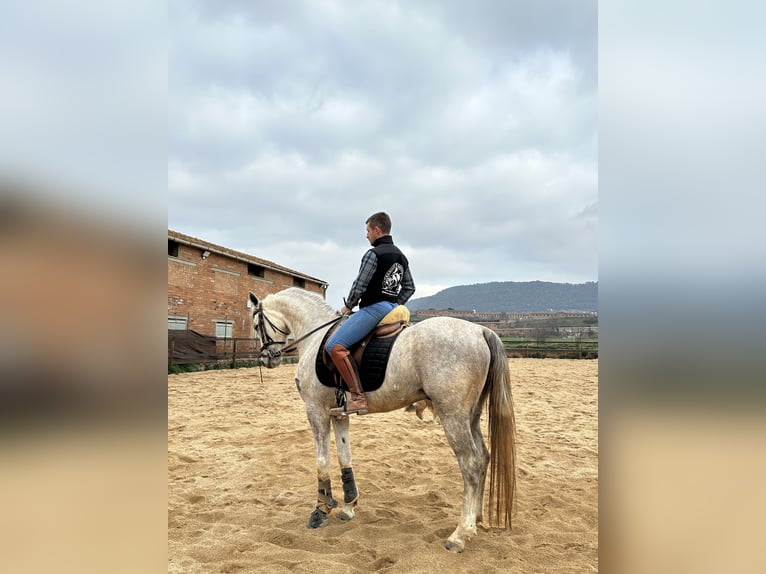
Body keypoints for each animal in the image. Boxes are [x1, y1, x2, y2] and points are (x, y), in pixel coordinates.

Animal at [249, 288, 520, 552]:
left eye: (256, 324)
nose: (266, 358)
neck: (316, 336)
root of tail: (481, 330)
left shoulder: (316, 410)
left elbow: (322, 461)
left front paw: (320, 510)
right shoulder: (338, 414)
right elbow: (345, 457)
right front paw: (348, 506)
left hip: (453, 416)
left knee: (470, 464)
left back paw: (460, 533)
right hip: (470, 415)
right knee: (483, 457)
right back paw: (476, 518)